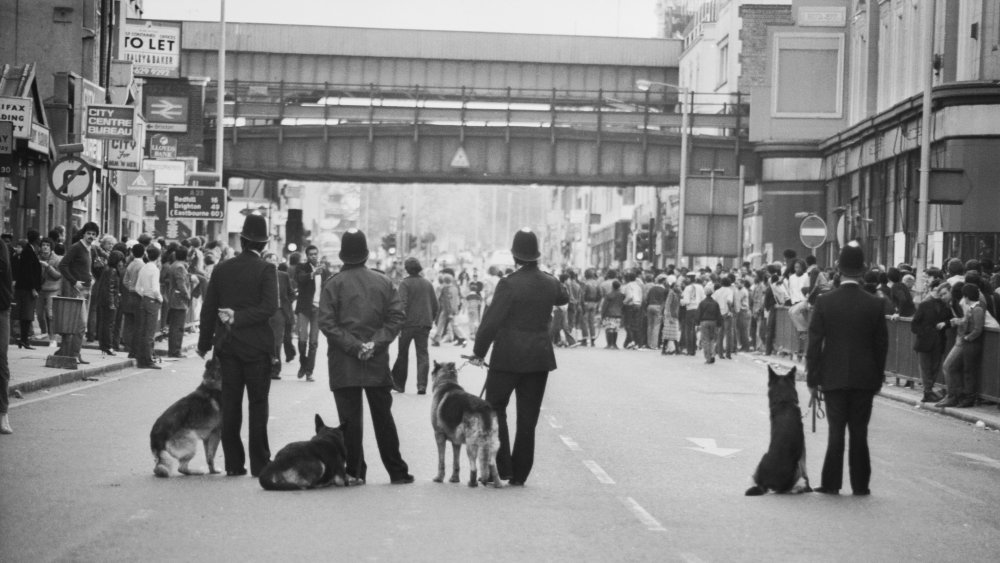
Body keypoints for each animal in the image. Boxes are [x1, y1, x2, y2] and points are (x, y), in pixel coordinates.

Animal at [432, 362, 504, 490]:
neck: (446, 380)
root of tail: (484, 407)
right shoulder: (456, 442)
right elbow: (456, 462)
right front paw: (454, 478)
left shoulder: (439, 435)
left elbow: (441, 461)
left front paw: (439, 478)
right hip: (493, 443)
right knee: (492, 464)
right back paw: (497, 483)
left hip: (471, 444)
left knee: (474, 467)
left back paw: (473, 483)